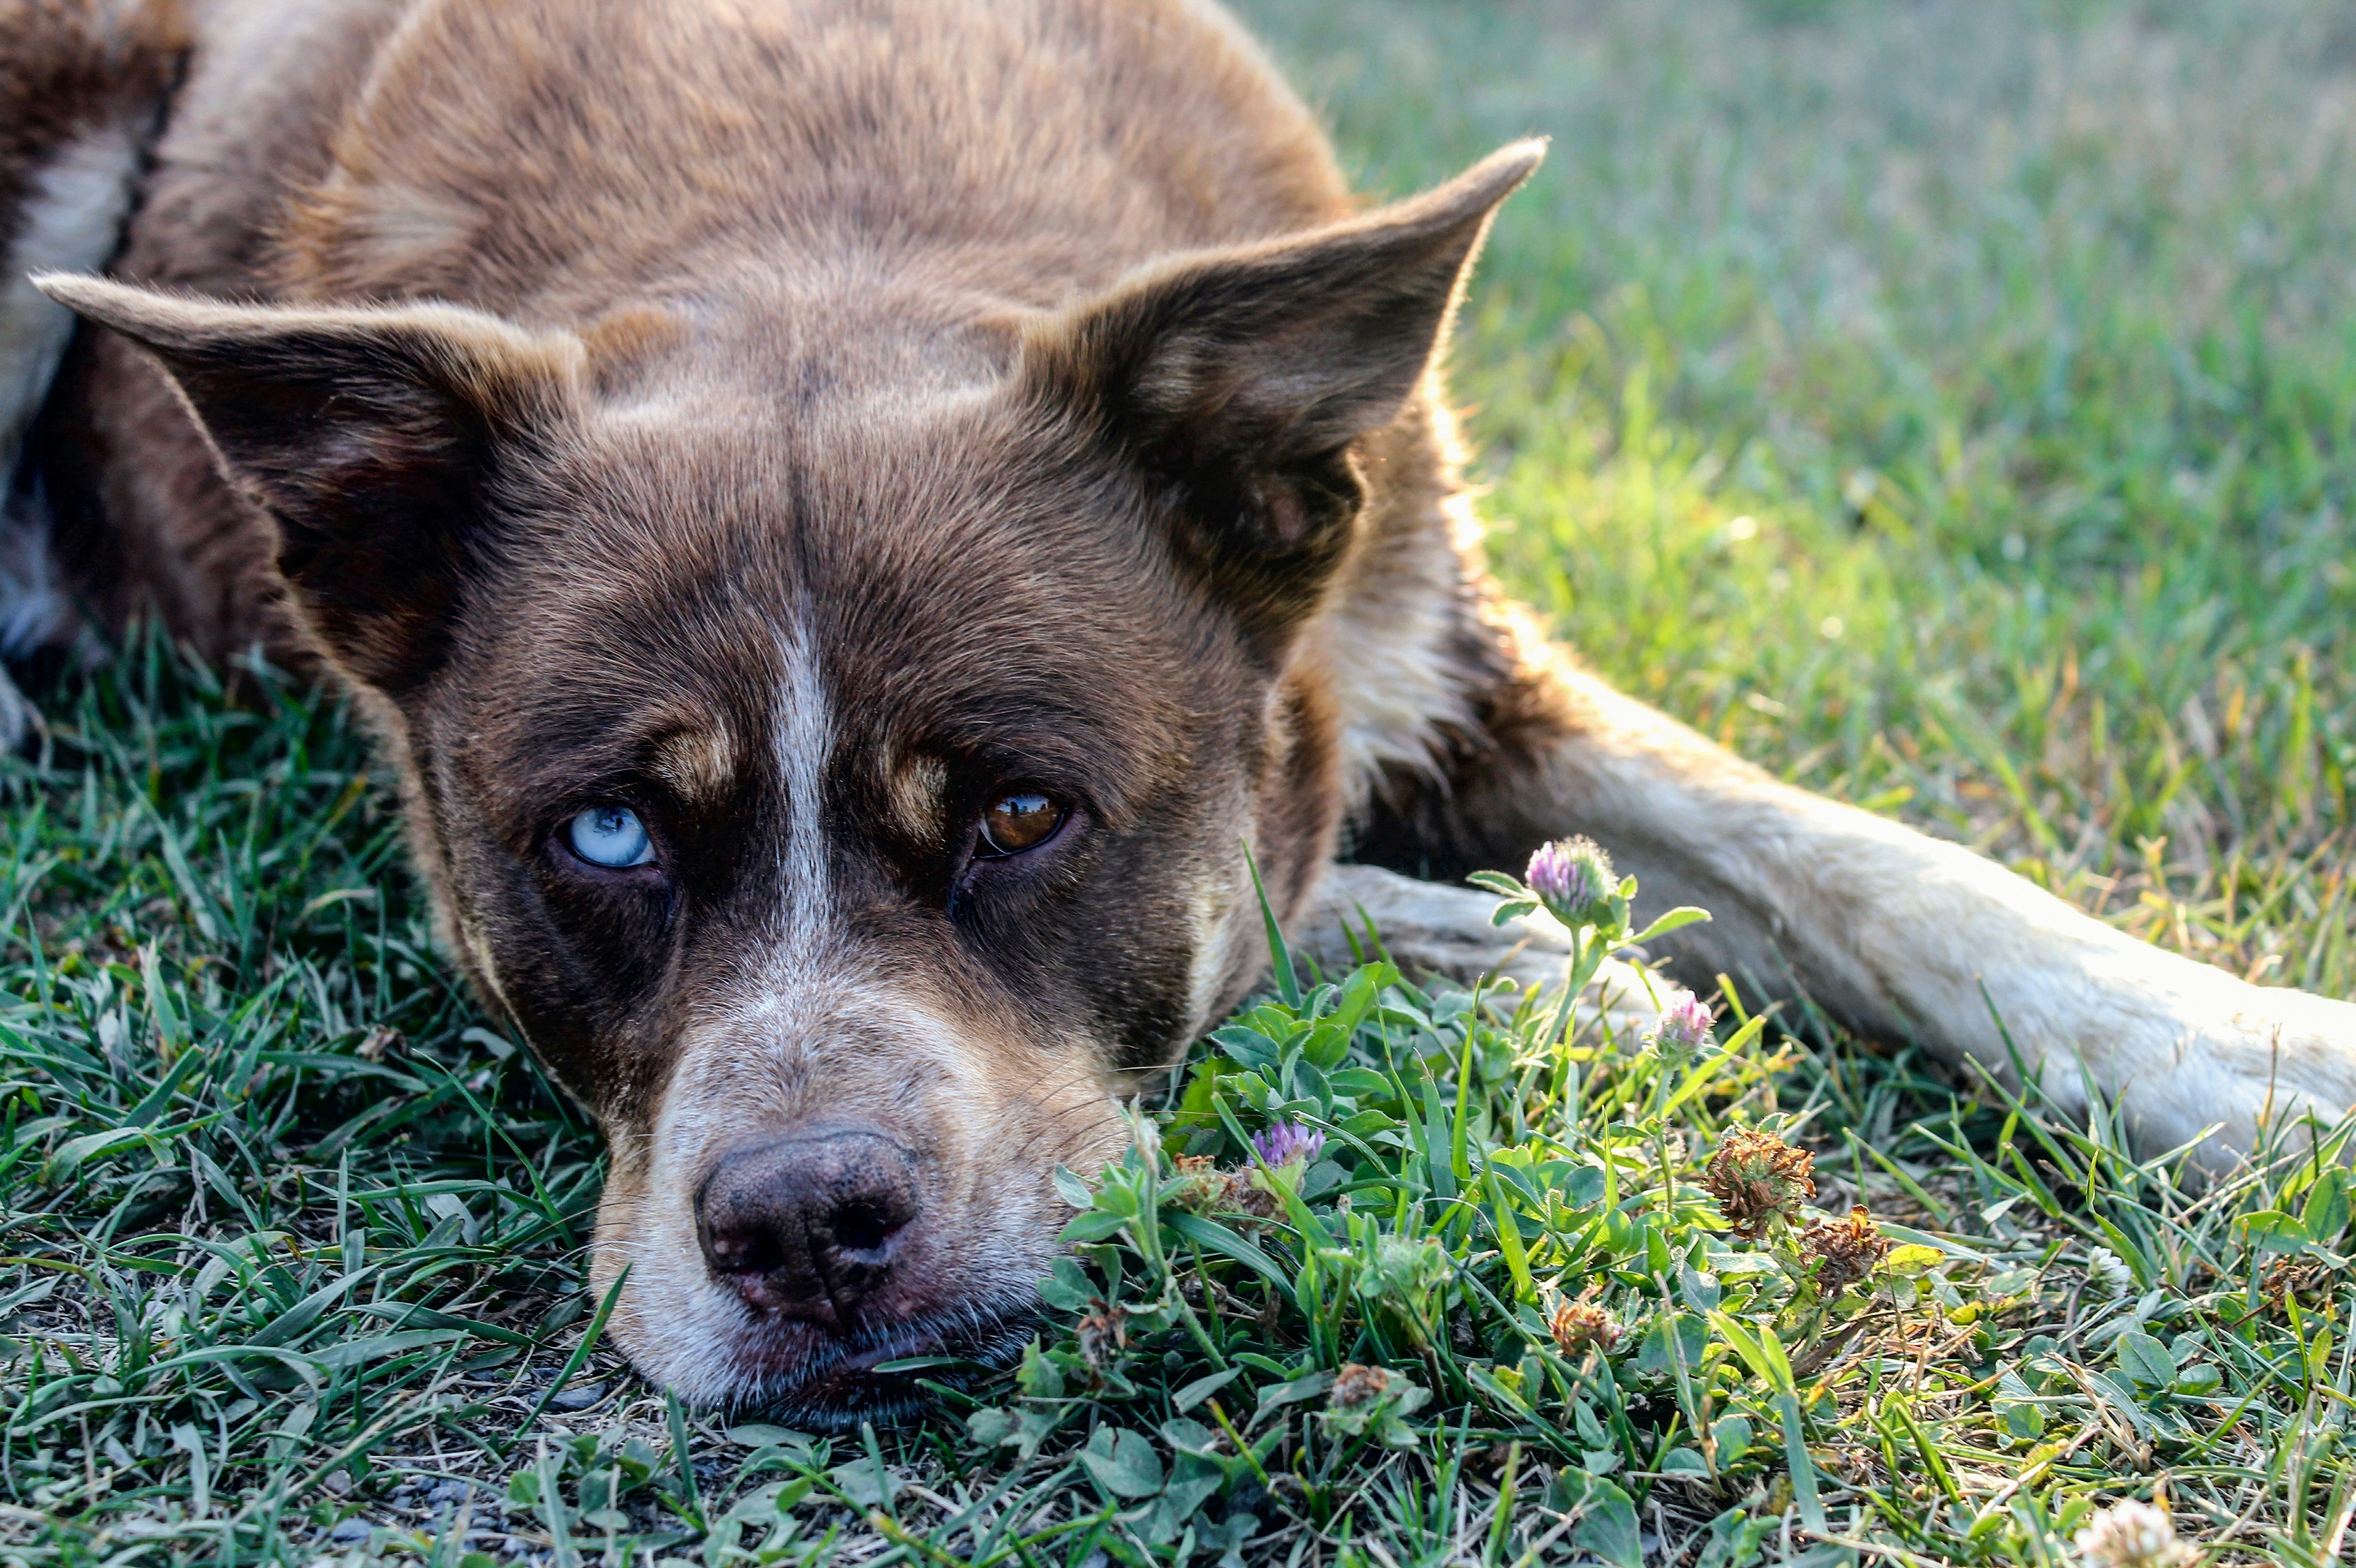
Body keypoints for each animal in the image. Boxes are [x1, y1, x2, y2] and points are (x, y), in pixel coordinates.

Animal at [5, 0, 2356, 1422]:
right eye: (605, 835)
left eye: (1023, 812)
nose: (804, 1227)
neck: (819, 223)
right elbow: (1301, 909)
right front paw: (1531, 970)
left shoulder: (1432, 620)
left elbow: (1878, 865)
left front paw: (2263, 1055)